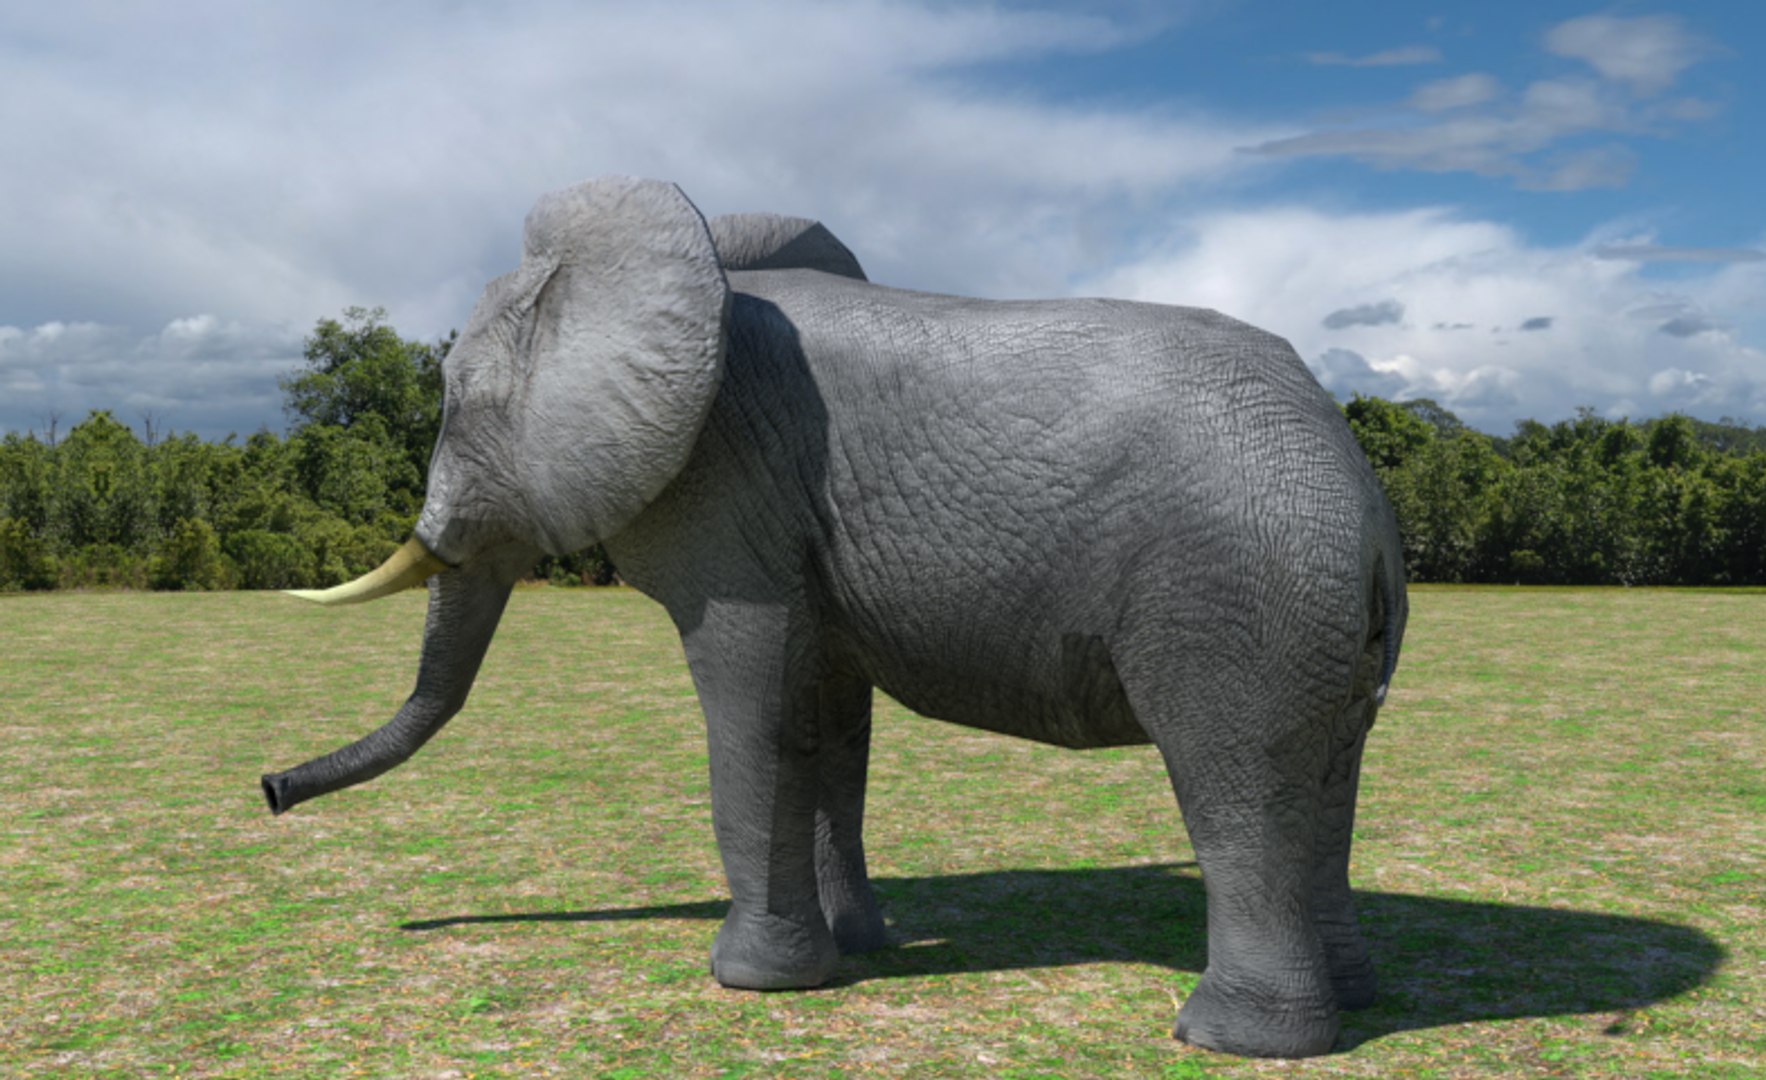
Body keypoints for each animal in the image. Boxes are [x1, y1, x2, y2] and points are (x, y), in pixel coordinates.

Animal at [262, 176, 1407, 1059]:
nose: (270, 789)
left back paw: (1228, 1040)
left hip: (1236, 595)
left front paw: (750, 982)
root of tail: (1359, 493)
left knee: (1235, 785)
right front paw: (857, 951)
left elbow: (753, 704)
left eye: (455, 403)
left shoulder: (735, 495)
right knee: (1326, 780)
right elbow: (824, 719)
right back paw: (1355, 999)